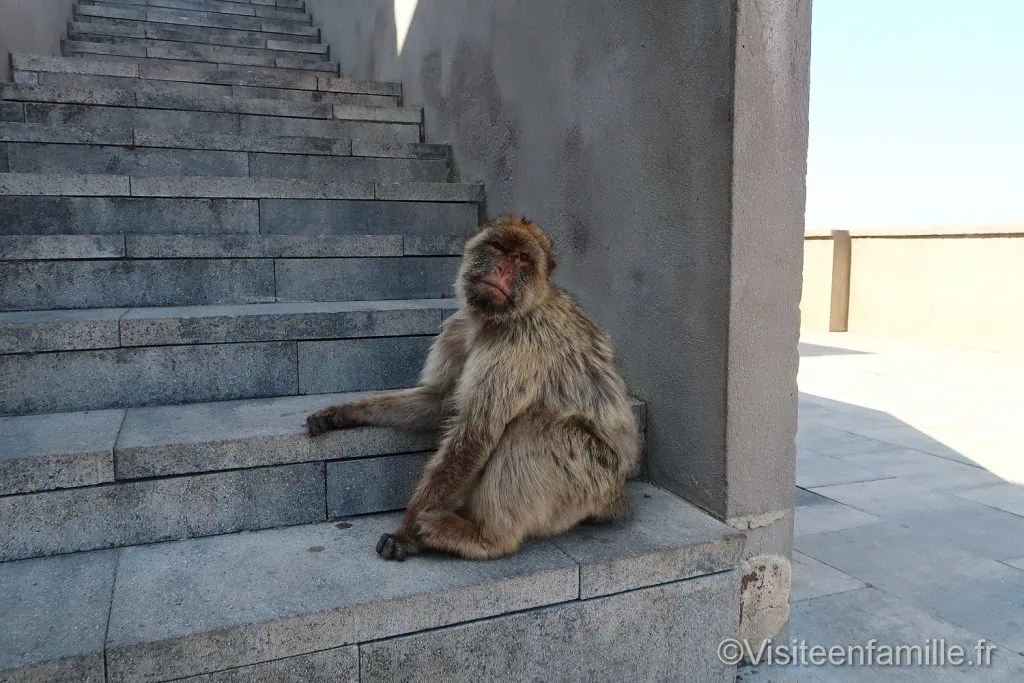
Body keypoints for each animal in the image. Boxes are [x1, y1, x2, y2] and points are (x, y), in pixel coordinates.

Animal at [306, 216, 640, 561]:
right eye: (498, 247)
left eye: (522, 258)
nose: (502, 269)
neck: (490, 321)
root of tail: (616, 495)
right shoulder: (458, 328)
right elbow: (439, 399)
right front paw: (344, 412)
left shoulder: (520, 341)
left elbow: (477, 432)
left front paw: (406, 532)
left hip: (589, 481)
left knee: (534, 426)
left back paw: (486, 537)